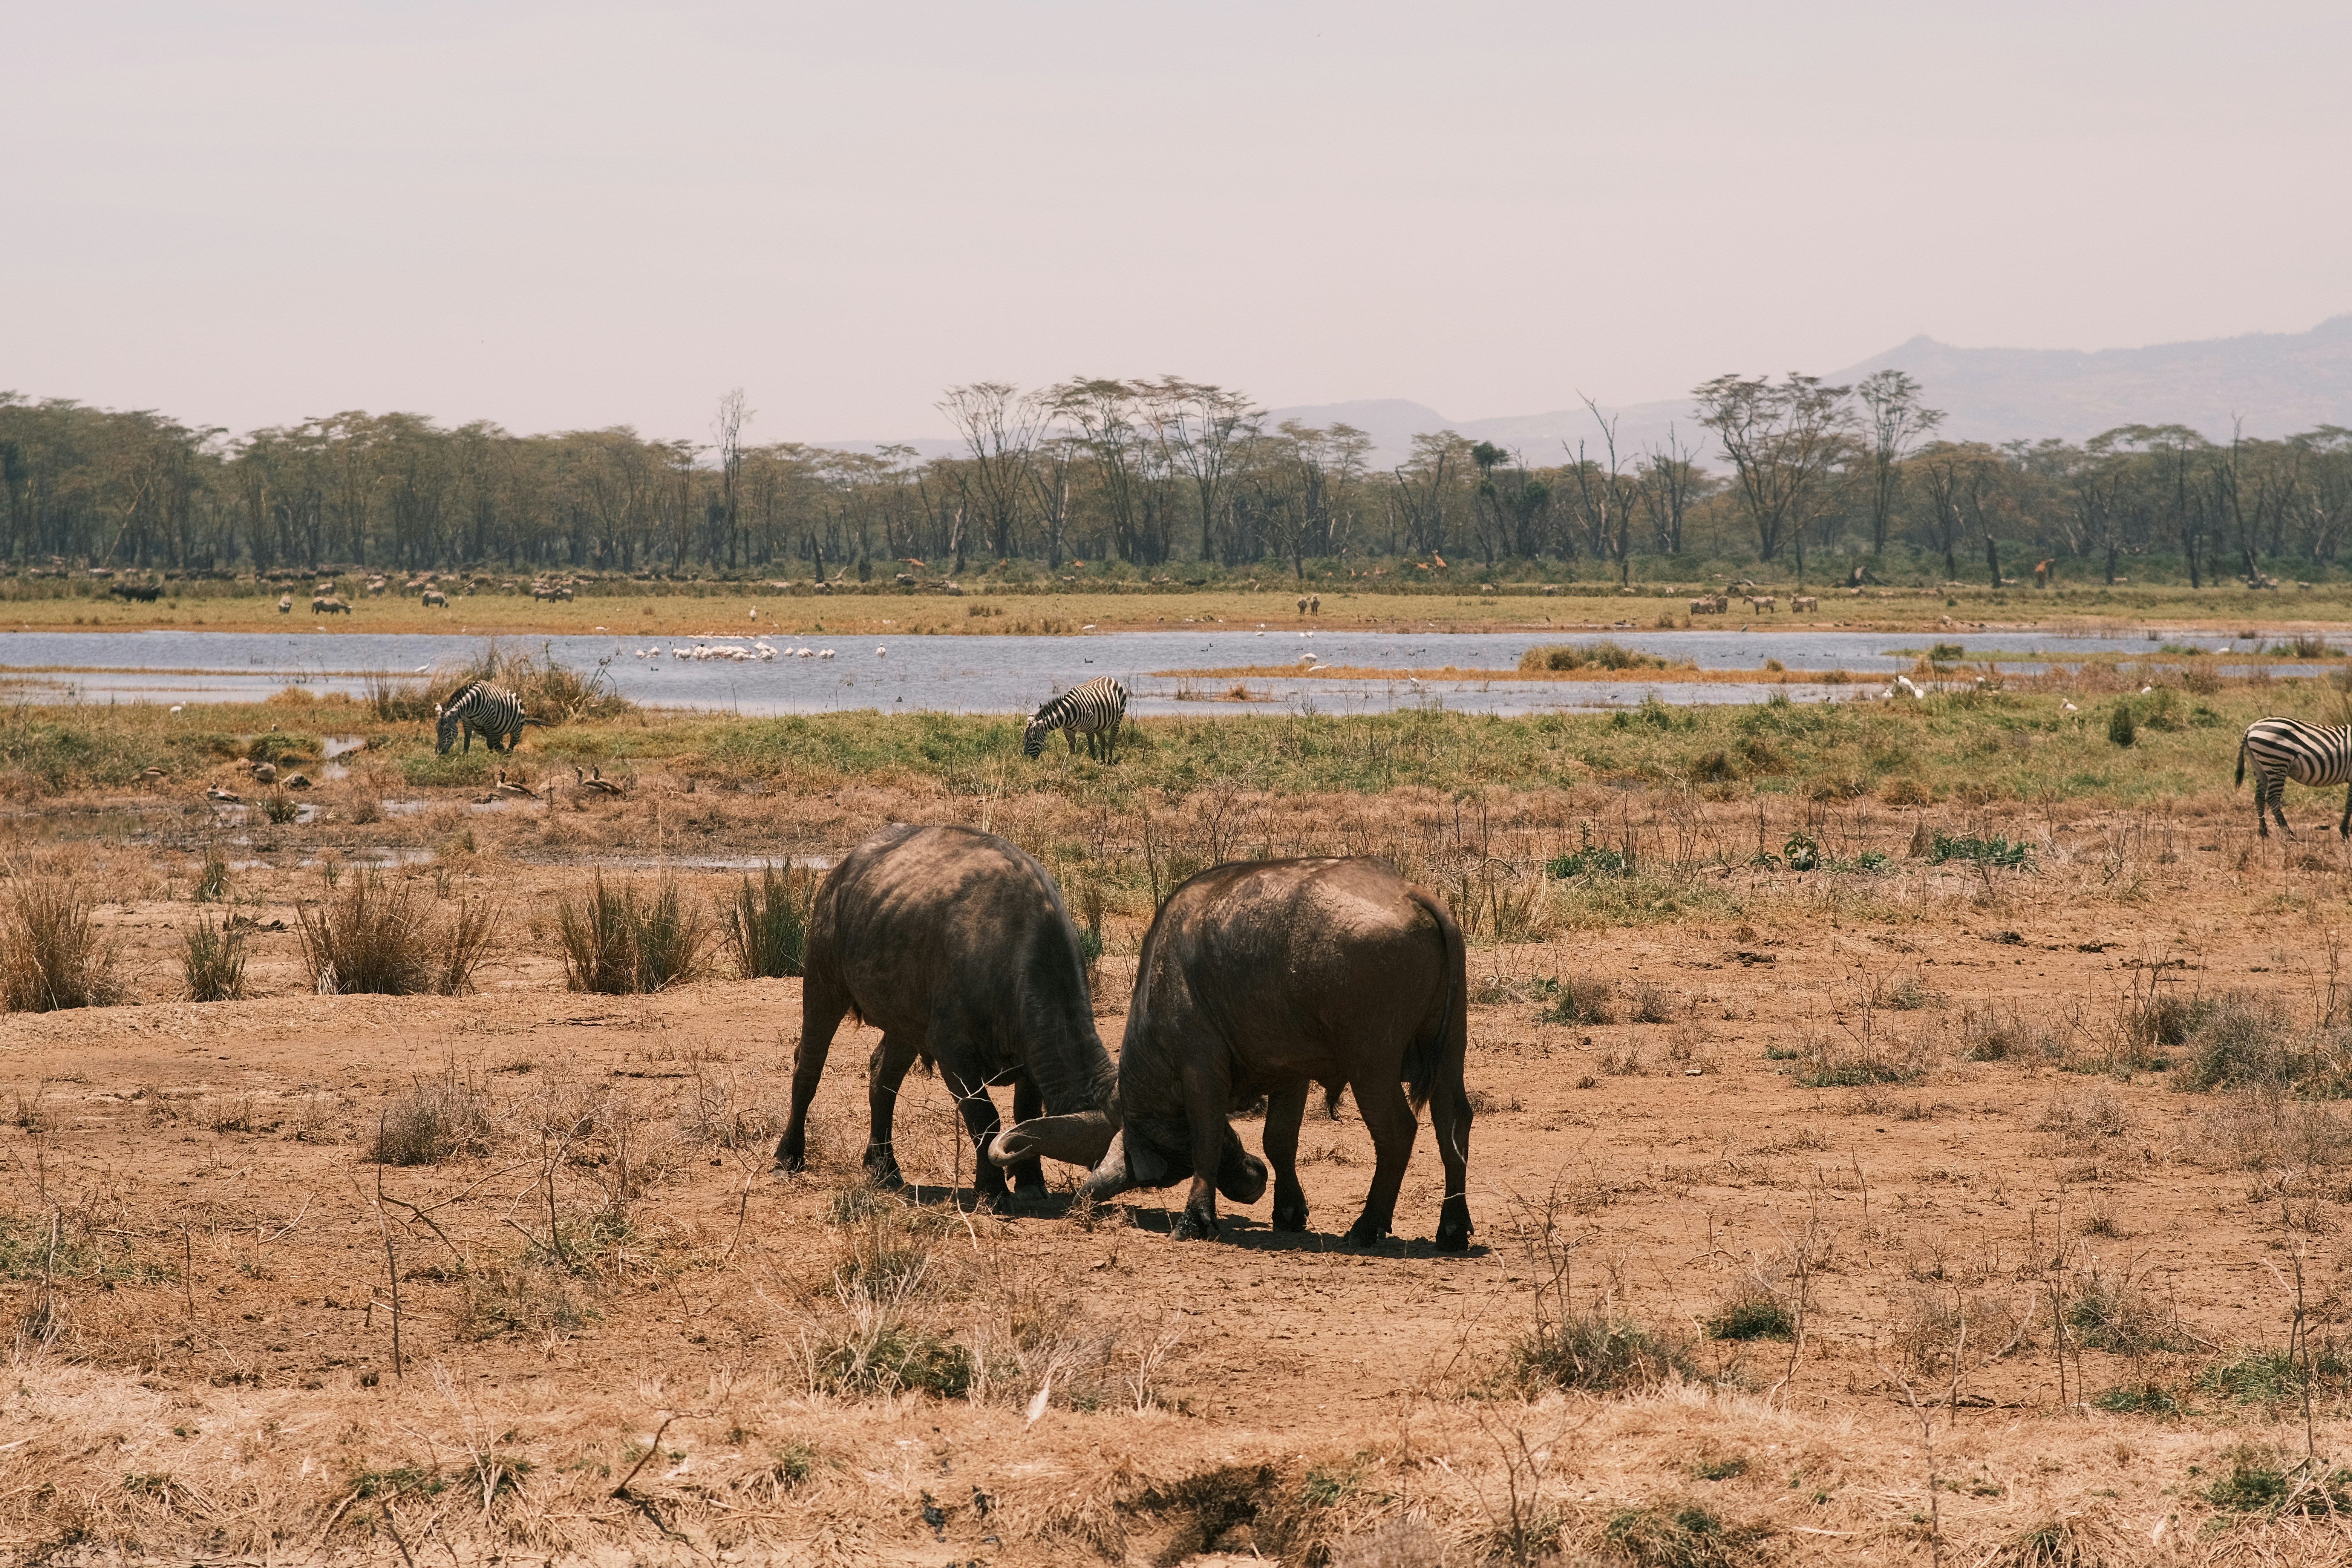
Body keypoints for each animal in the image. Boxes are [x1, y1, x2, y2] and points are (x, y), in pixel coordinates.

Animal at [435, 681, 535, 755]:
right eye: (437, 730)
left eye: (447, 730)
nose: (438, 752)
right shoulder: (467, 722)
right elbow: (467, 741)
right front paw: (465, 757)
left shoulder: (489, 721)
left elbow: (489, 744)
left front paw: (490, 758)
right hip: (498, 733)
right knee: (501, 747)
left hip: (517, 730)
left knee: (511, 747)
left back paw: (507, 758)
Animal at [1023, 676, 1128, 763]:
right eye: (1025, 739)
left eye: (1032, 739)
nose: (1026, 757)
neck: (1067, 714)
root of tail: (1110, 678)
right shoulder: (1068, 730)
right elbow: (1072, 749)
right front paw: (1074, 763)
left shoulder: (1089, 727)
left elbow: (1092, 747)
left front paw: (1094, 764)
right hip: (1099, 724)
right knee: (1103, 738)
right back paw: (1103, 761)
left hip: (1118, 719)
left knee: (1112, 740)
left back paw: (1109, 761)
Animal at [2237, 716, 2352, 837]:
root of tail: (2252, 727)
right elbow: (2350, 804)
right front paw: (2345, 832)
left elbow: (2349, 803)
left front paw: (2345, 830)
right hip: (2277, 765)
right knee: (2273, 798)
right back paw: (2288, 832)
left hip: (2259, 767)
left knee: (2259, 797)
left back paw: (2264, 831)